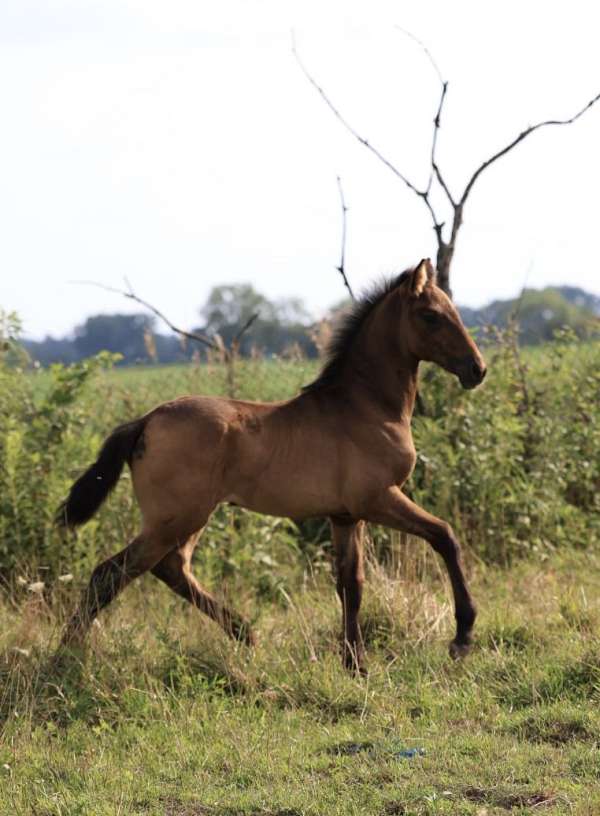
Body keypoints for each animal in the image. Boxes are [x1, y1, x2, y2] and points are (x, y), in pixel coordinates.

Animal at [58, 258, 486, 672]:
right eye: (431, 315)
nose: (477, 370)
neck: (365, 406)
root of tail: (146, 420)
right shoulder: (377, 499)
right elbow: (444, 536)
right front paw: (461, 638)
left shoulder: (346, 516)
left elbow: (351, 583)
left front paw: (355, 665)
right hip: (176, 518)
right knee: (111, 573)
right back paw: (65, 657)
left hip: (188, 517)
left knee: (171, 568)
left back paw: (244, 633)